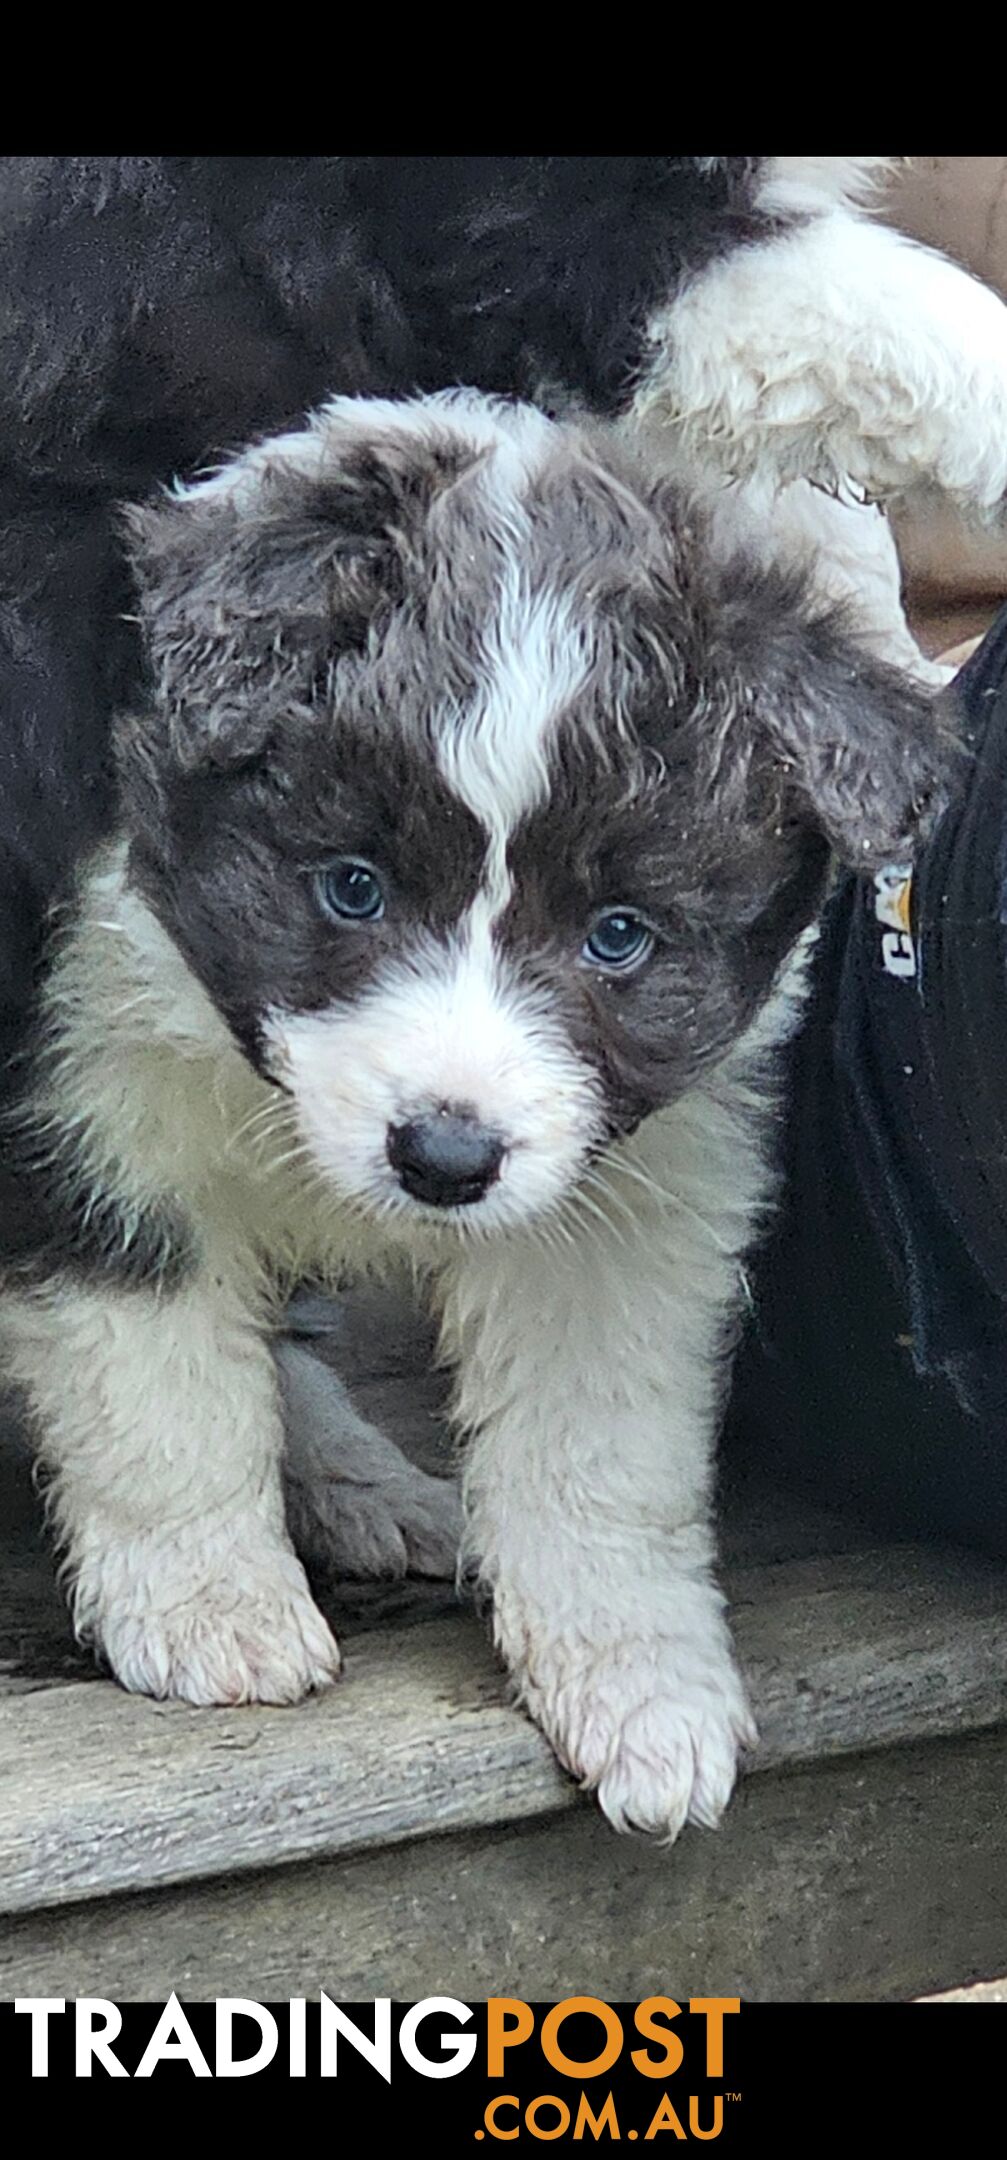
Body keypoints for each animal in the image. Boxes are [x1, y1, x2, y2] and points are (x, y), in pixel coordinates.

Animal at [0, 393, 950, 1840]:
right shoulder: (93, 1098)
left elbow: (596, 1444)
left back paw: (360, 1488)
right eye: (351, 887)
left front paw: (640, 1686)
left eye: (618, 935)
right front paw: (209, 1607)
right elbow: (155, 1384)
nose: (443, 1159)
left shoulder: (629, 1197)